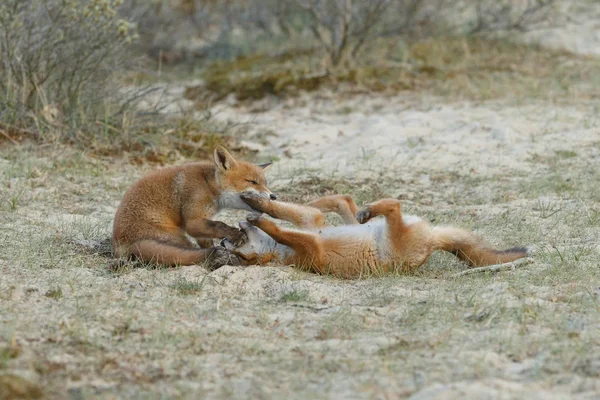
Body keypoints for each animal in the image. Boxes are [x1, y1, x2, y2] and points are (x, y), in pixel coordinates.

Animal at [225, 192, 528, 276]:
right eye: (238, 254)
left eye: (237, 244)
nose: (224, 240)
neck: (283, 254)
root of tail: (431, 244)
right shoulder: (313, 247)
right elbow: (282, 226)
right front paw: (260, 214)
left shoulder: (311, 231)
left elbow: (280, 214)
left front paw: (258, 206)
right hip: (393, 231)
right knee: (391, 205)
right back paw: (371, 209)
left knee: (345, 200)